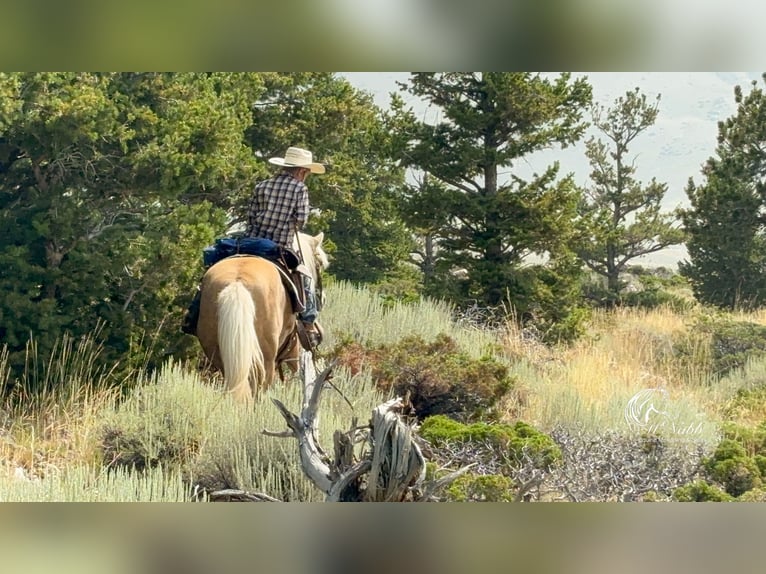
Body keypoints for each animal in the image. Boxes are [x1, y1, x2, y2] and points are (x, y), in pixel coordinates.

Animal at [195, 232, 328, 402]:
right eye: (319, 264)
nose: (323, 298)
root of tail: (237, 284)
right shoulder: (294, 347)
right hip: (266, 359)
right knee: (260, 388)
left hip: (219, 353)